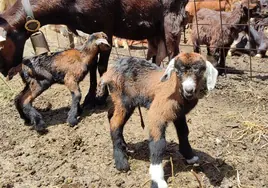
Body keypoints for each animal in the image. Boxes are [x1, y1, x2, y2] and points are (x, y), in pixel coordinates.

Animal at [0, 0, 188, 108]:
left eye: (1, 46)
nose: (4, 72)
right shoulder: (92, 30)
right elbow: (92, 64)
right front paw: (89, 98)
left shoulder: (106, 26)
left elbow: (101, 66)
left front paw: (101, 97)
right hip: (155, 32)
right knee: (159, 56)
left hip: (171, 18)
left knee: (174, 53)